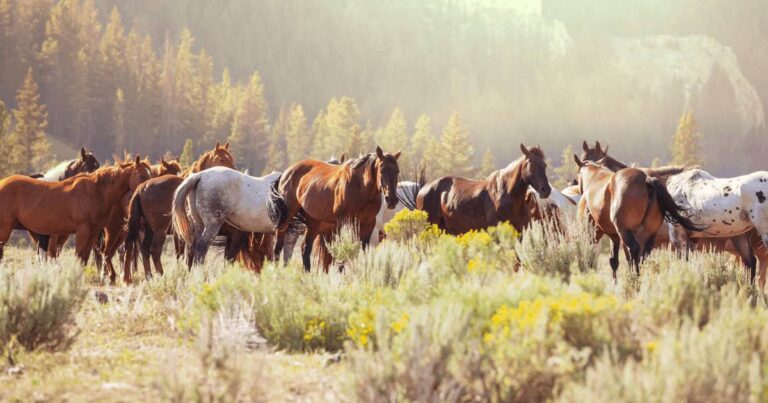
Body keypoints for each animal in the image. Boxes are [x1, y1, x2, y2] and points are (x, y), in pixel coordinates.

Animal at [0, 156, 151, 270]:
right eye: (142, 175)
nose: (146, 189)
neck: (96, 191)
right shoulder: (82, 231)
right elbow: (78, 256)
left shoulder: (93, 233)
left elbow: (84, 258)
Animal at [123, 142, 235, 282]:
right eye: (221, 159)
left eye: (231, 158)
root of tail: (142, 188)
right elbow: (187, 254)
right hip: (159, 230)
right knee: (153, 251)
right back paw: (160, 275)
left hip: (149, 229)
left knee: (143, 249)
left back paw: (147, 276)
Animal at [268, 146, 401, 272]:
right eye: (382, 170)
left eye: (397, 171)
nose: (392, 200)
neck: (360, 188)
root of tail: (286, 173)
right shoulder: (342, 222)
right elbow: (340, 250)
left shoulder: (368, 224)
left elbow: (363, 250)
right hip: (286, 218)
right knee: (277, 246)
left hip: (313, 223)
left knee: (305, 248)